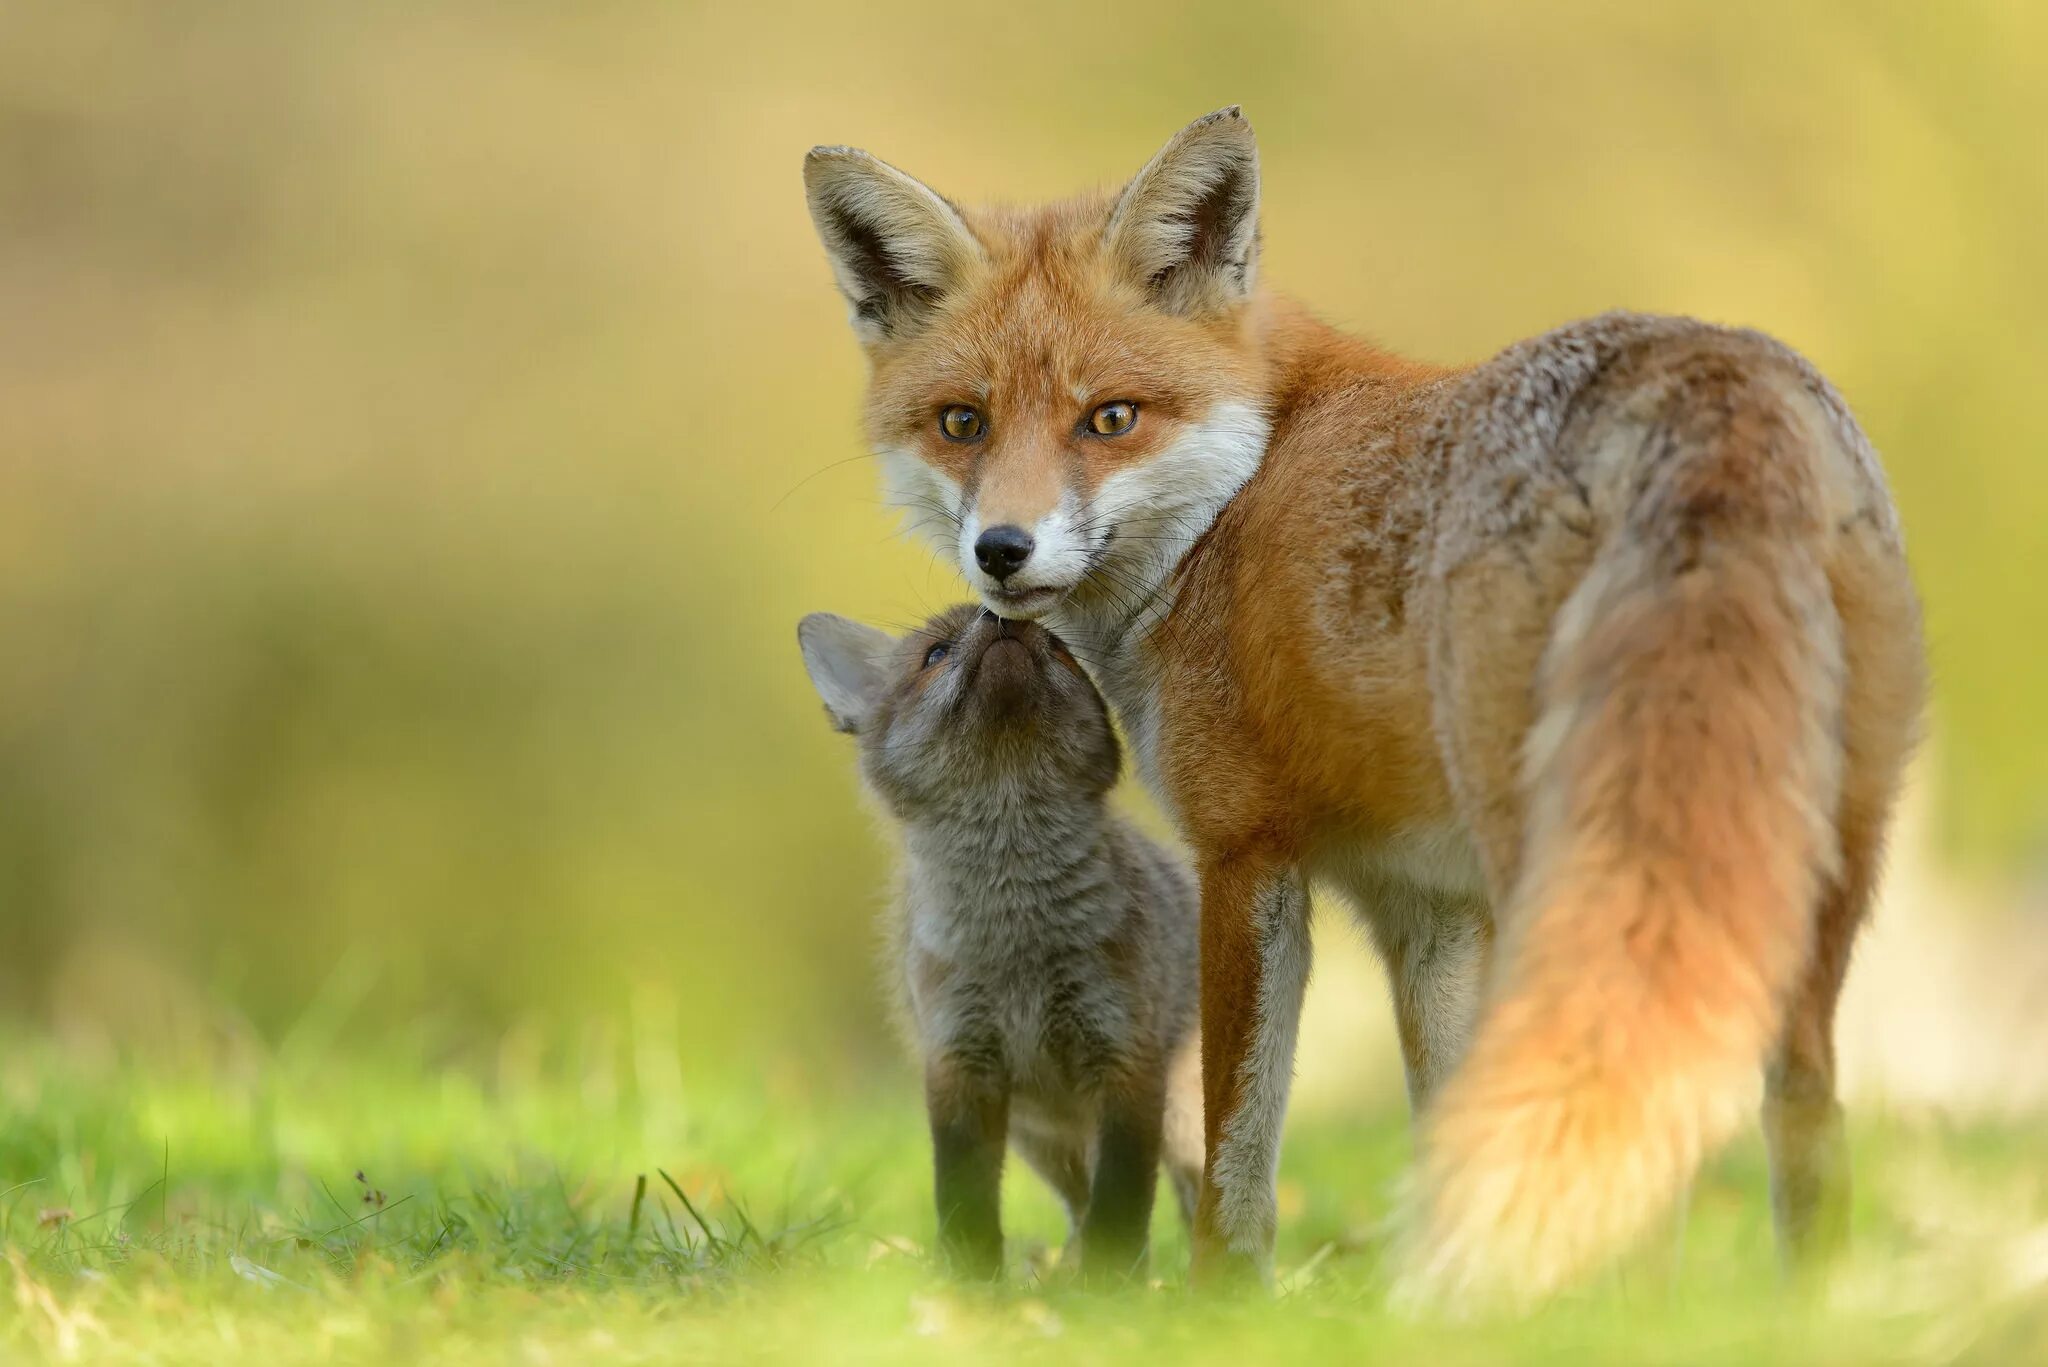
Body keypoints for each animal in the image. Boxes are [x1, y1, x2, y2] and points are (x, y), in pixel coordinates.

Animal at [798, 104, 1916, 1303]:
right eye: (961, 422)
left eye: (1111, 418)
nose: (1001, 553)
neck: (1234, 500)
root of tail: (1711, 373)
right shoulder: (1425, 906)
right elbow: (1447, 1115)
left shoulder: (1247, 853)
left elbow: (1238, 1135)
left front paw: (1218, 1302)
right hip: (1814, 862)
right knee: (1799, 1105)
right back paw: (1794, 1308)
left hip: (1560, 848)